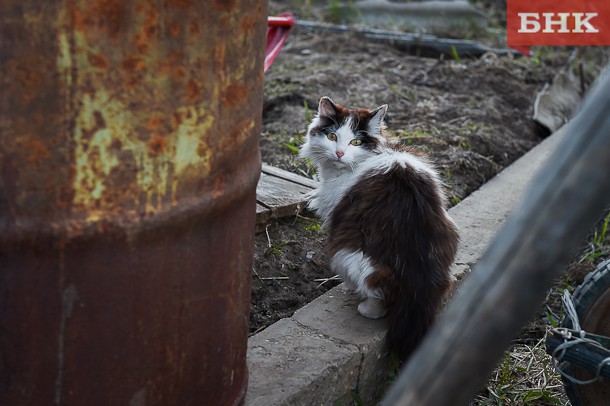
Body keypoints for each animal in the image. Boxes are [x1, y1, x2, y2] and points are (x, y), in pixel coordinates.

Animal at [296, 97, 458, 362]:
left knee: (378, 293)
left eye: (356, 142)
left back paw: (365, 305)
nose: (339, 153)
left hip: (348, 255)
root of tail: (419, 278)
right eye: (331, 136)